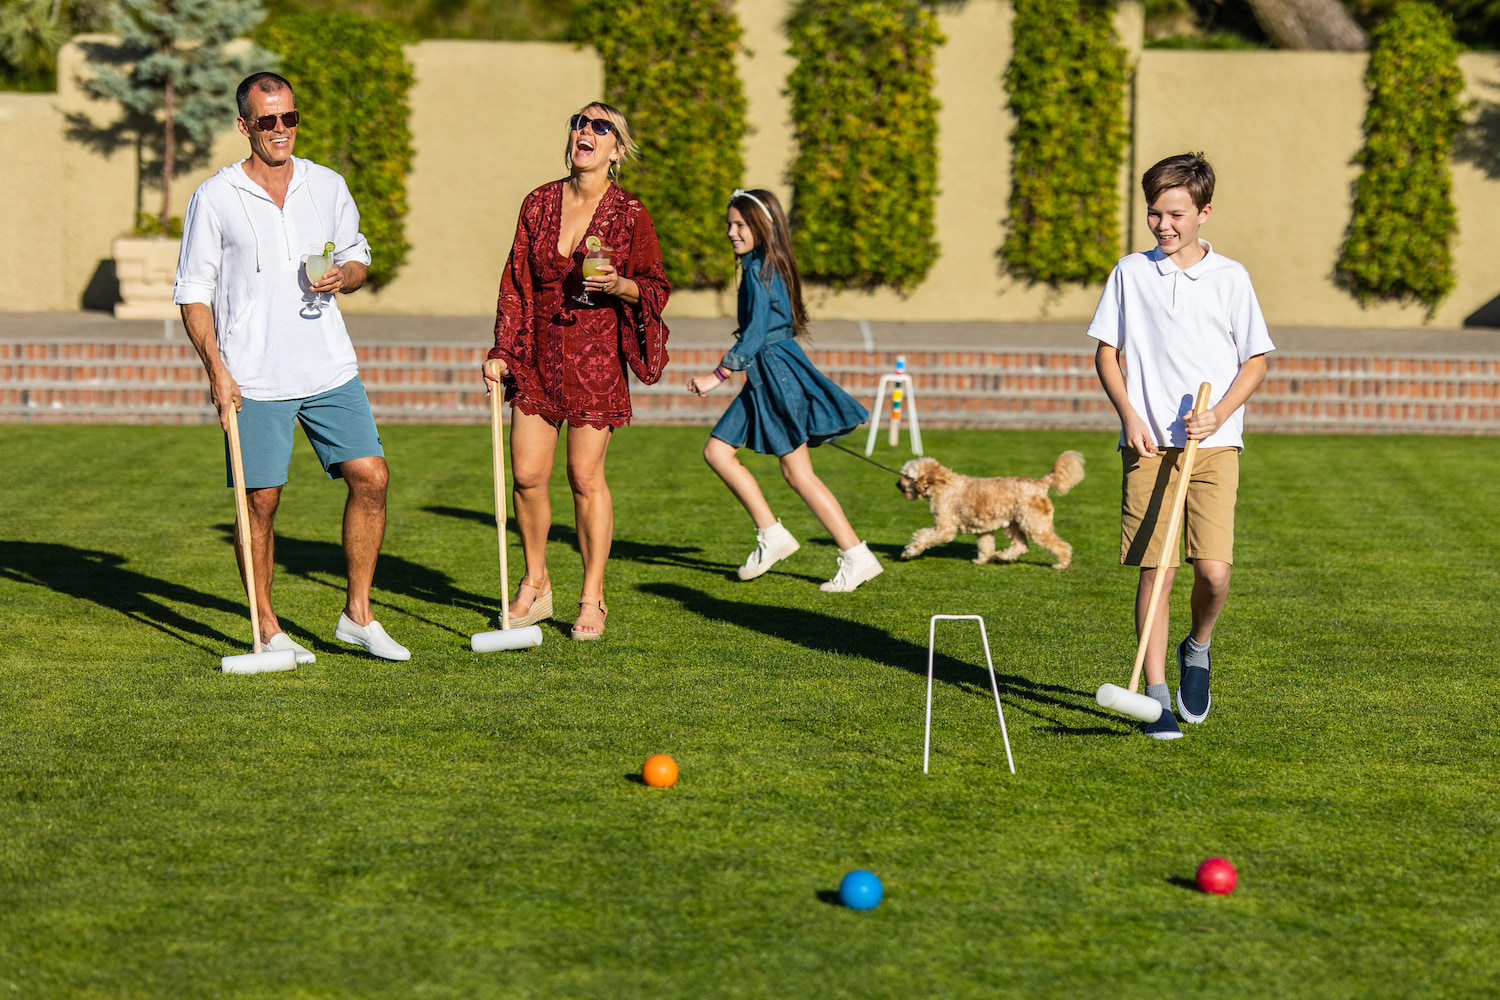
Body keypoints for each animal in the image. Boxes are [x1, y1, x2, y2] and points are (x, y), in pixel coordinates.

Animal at [894, 452, 1086, 569]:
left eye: (905, 475)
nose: (897, 484)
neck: (942, 485)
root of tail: (1041, 483)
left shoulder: (945, 528)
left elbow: (922, 537)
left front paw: (909, 552)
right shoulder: (983, 530)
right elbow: (986, 546)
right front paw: (982, 560)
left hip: (1034, 524)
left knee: (1060, 546)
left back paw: (1062, 564)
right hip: (1014, 524)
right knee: (1021, 545)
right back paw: (1004, 557)